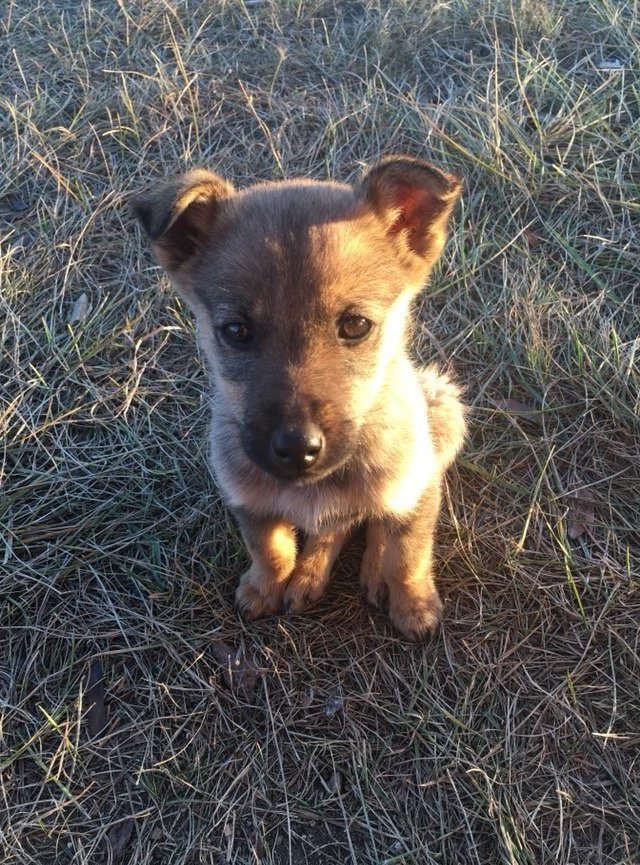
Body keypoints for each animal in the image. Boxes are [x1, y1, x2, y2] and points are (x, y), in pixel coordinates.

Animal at [135, 157, 464, 640]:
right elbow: (271, 551)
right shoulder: (248, 500)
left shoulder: (415, 490)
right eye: (236, 330)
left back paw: (369, 570)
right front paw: (265, 587)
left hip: (443, 410)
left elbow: (407, 557)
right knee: (336, 526)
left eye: (356, 325)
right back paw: (309, 575)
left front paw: (414, 608)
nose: (295, 448)